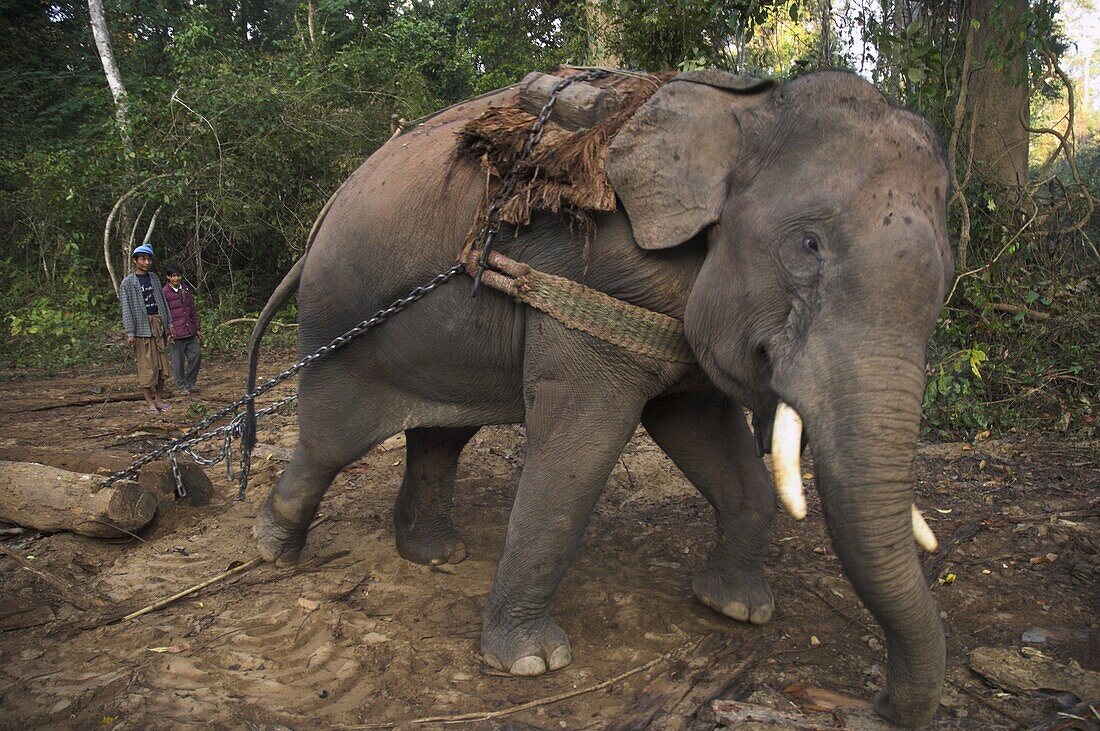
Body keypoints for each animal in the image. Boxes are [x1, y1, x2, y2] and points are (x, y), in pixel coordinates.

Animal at [247, 69, 954, 729]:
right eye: (808, 246)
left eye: (947, 275)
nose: (877, 703)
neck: (742, 111)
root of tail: (326, 216)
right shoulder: (599, 278)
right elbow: (578, 456)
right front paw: (532, 663)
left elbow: (707, 439)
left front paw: (737, 609)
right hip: (341, 326)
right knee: (331, 439)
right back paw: (274, 549)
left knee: (439, 434)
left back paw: (436, 555)